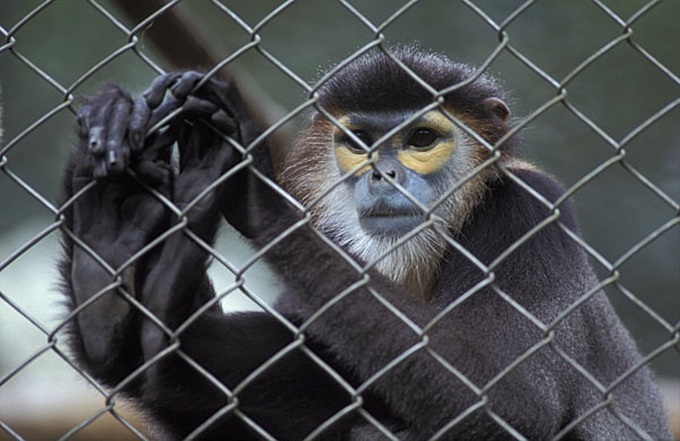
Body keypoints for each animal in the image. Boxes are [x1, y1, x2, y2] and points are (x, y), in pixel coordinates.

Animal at [58, 48, 672, 439]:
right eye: (361, 142)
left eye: (420, 138)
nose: (382, 175)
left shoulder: (526, 212)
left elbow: (519, 401)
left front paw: (256, 190)